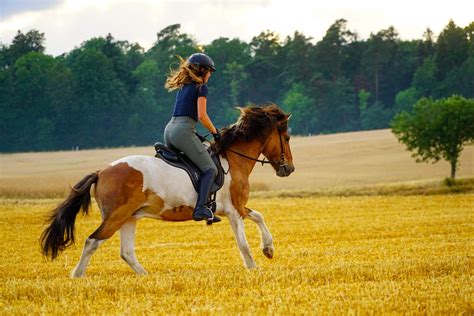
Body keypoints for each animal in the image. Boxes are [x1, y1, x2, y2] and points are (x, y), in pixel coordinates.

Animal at [40, 103, 294, 276]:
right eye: (287, 137)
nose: (288, 169)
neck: (233, 159)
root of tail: (102, 172)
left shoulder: (238, 207)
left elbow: (258, 215)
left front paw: (269, 249)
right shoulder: (234, 210)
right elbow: (243, 242)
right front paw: (253, 267)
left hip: (129, 217)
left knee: (126, 252)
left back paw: (146, 276)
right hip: (116, 216)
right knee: (92, 241)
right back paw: (77, 276)